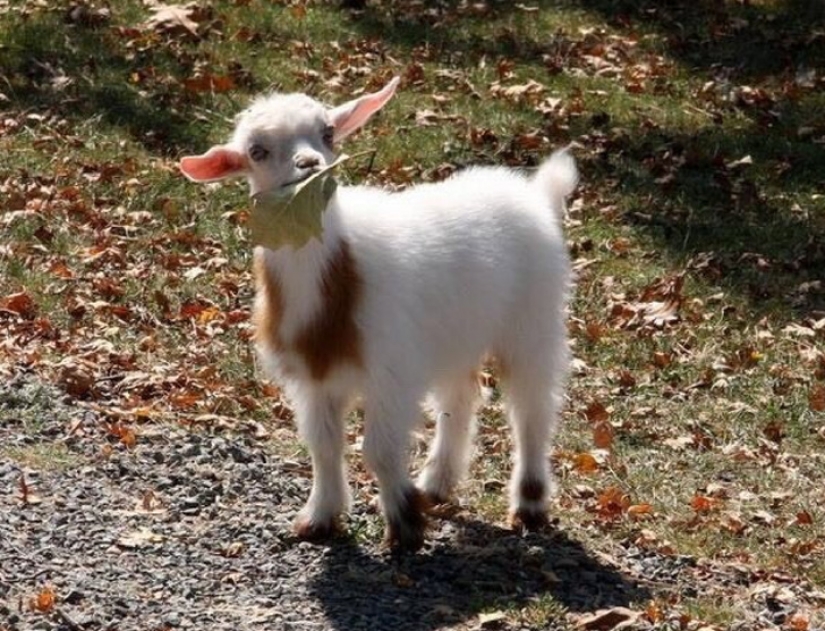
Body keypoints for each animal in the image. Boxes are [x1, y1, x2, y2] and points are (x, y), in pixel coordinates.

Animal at [179, 77, 577, 551]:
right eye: (257, 150)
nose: (309, 164)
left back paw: (529, 504)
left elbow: (379, 450)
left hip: (533, 316)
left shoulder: (392, 372)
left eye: (328, 132)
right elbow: (324, 445)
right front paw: (320, 517)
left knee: (531, 407)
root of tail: (534, 195)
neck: (338, 287)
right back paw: (436, 483)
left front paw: (404, 525)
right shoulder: (313, 380)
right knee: (461, 397)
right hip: (455, 335)